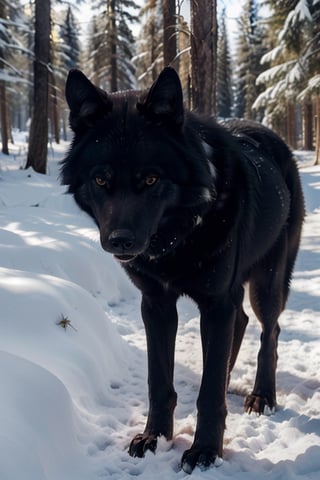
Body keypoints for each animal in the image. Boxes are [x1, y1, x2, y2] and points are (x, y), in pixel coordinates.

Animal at [62, 66, 304, 472]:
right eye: (100, 179)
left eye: (150, 179)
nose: (120, 241)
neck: (177, 237)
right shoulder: (156, 304)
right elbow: (159, 383)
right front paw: (154, 438)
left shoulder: (216, 302)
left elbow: (208, 395)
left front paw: (205, 450)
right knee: (239, 326)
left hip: (266, 284)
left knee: (269, 332)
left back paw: (262, 396)